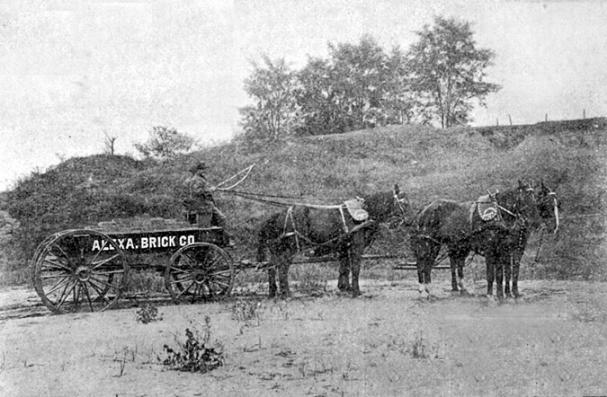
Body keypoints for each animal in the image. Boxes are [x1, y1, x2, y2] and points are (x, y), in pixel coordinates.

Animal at [254, 185, 410, 296]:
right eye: (404, 203)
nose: (407, 222)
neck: (365, 213)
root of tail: (277, 215)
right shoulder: (356, 247)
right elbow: (355, 268)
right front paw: (356, 290)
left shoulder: (344, 247)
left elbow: (344, 268)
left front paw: (344, 288)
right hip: (289, 248)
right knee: (282, 268)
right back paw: (286, 292)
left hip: (276, 249)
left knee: (271, 267)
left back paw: (273, 292)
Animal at [414, 181, 556, 298]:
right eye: (546, 203)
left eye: (535, 199)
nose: (553, 227)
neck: (498, 216)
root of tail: (425, 208)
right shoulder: (491, 250)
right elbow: (492, 274)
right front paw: (491, 295)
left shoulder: (506, 249)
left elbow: (505, 273)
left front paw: (506, 294)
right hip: (429, 243)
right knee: (423, 264)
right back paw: (424, 289)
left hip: (455, 246)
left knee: (451, 264)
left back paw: (453, 289)